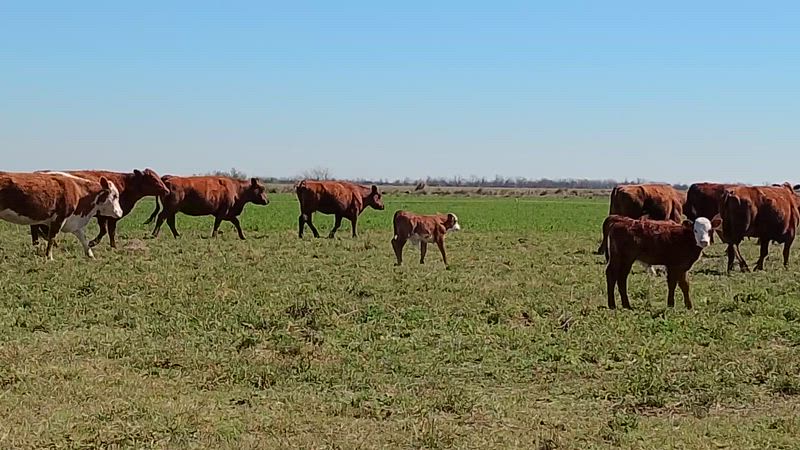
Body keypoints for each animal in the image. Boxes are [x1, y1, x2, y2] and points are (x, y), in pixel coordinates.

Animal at [30, 169, 169, 248]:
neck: (125, 185)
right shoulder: (106, 216)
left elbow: (107, 231)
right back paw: (40, 243)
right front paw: (97, 243)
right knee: (36, 227)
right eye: (152, 178)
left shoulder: (106, 217)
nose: (167, 190)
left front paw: (111, 245)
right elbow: (107, 231)